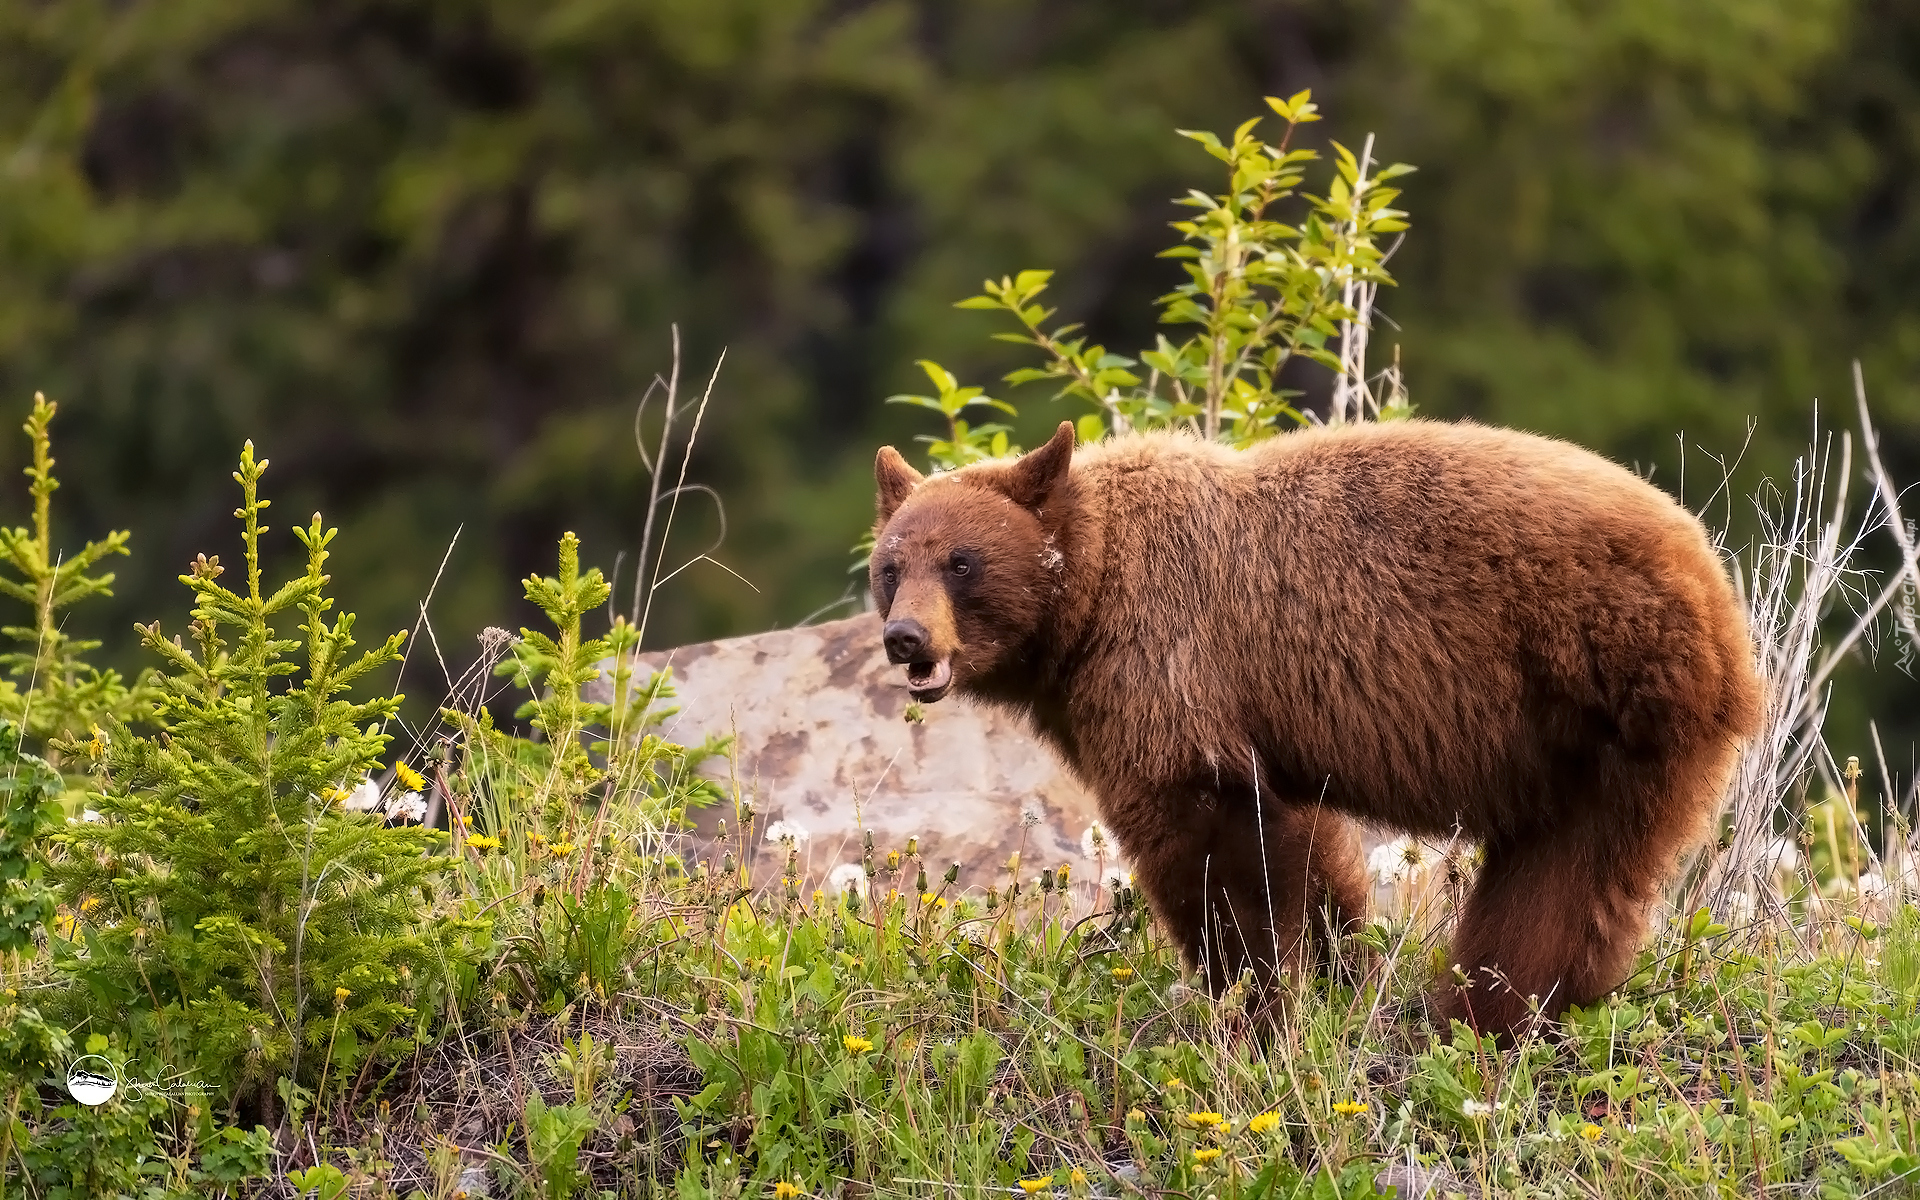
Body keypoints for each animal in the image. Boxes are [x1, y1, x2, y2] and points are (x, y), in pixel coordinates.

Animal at [879, 418, 1758, 1029]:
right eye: (891, 564)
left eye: (961, 562)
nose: (905, 637)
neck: (1088, 598)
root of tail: (1715, 589)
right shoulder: (1254, 719)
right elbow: (1306, 844)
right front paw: (1339, 971)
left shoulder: (1169, 660)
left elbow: (1213, 845)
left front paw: (1248, 993)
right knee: (1558, 871)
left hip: (1611, 701)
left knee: (1570, 876)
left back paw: (1489, 1015)